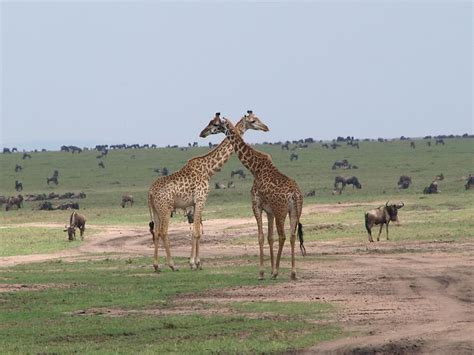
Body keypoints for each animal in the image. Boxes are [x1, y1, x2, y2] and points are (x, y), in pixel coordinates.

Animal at [148, 112, 268, 272]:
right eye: (253, 121)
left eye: (214, 123)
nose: (265, 127)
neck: (208, 170)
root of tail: (150, 192)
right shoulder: (201, 199)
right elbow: (196, 232)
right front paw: (194, 263)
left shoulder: (194, 203)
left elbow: (197, 231)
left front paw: (196, 262)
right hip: (165, 208)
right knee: (163, 232)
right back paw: (172, 265)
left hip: (156, 210)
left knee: (156, 233)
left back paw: (156, 266)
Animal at [199, 114, 304, 280]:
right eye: (254, 120)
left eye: (214, 124)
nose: (202, 133)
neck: (254, 168)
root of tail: (295, 194)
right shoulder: (269, 211)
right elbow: (269, 237)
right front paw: (269, 270)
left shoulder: (256, 205)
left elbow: (260, 236)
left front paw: (261, 273)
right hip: (295, 211)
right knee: (293, 236)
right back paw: (293, 273)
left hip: (281, 211)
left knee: (283, 236)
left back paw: (276, 272)